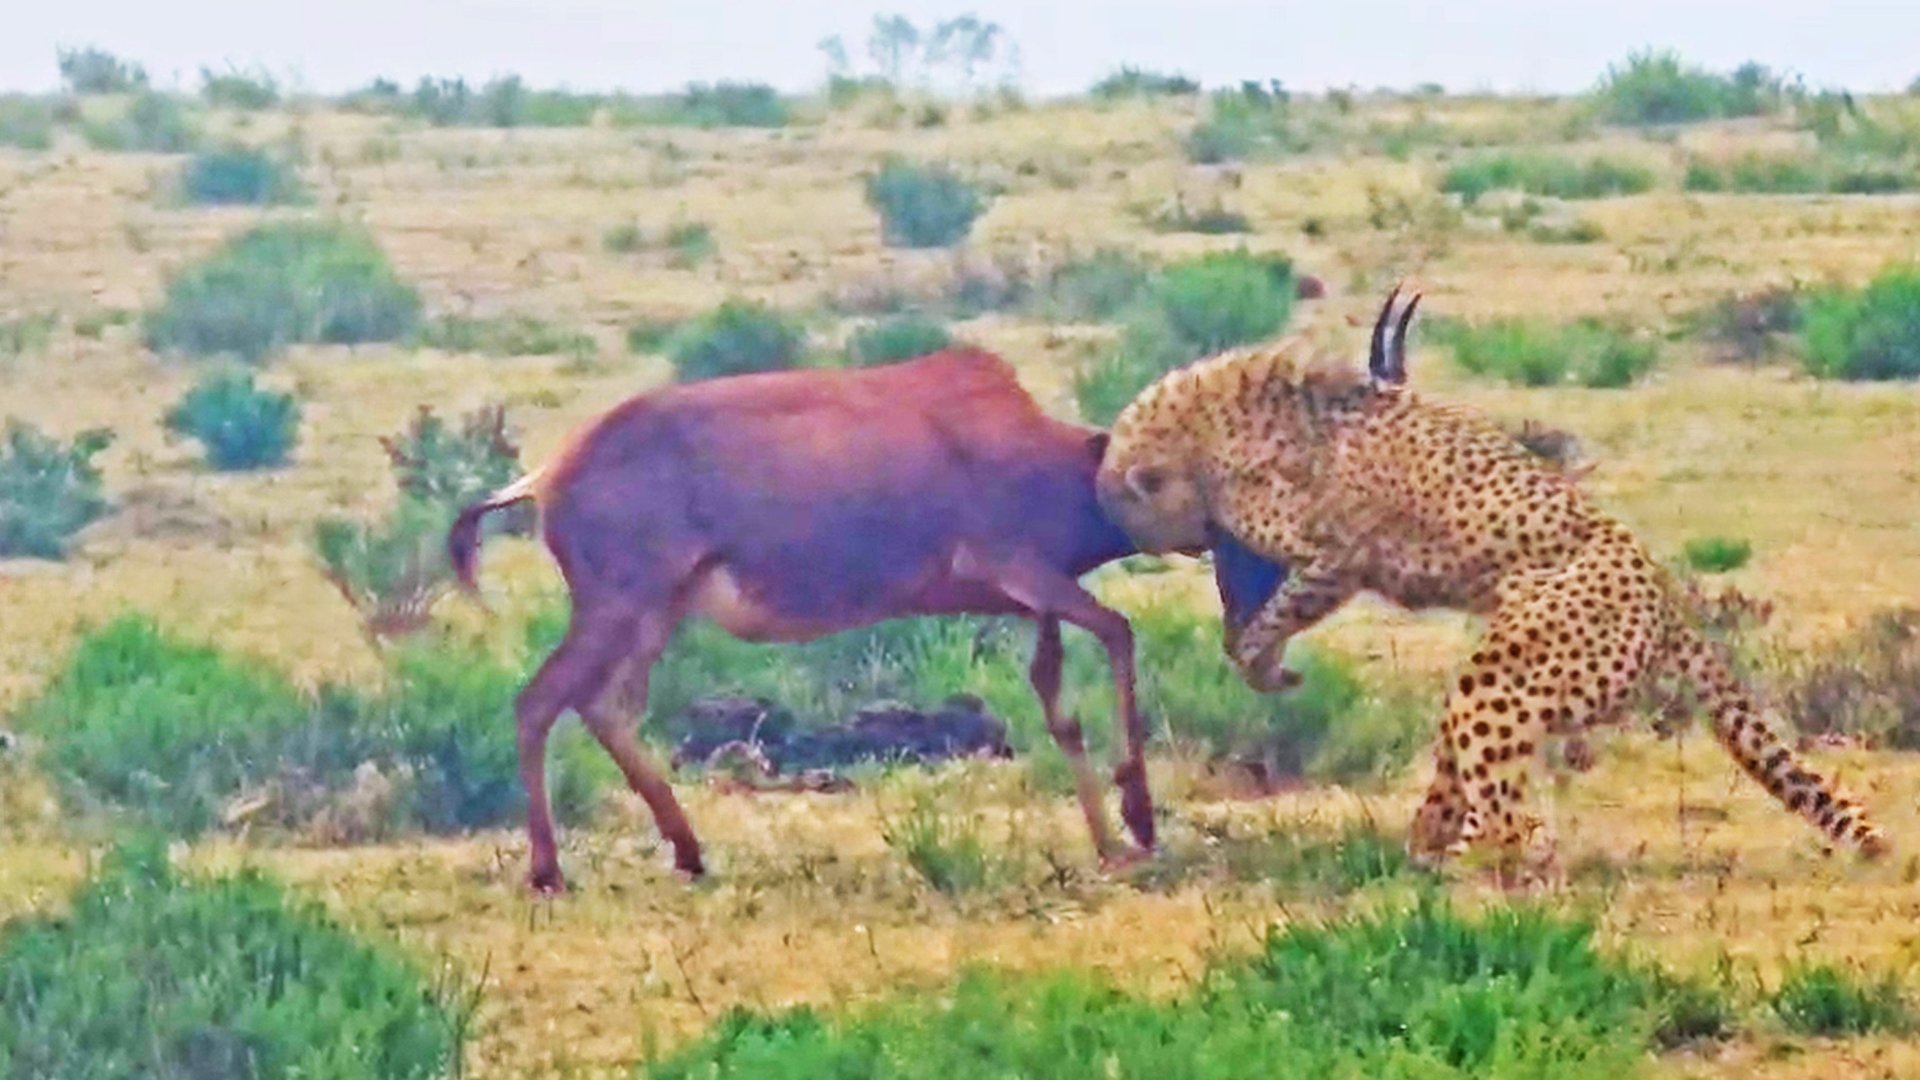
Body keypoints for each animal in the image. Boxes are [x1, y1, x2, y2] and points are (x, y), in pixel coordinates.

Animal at [1093, 288, 1888, 877]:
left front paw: (1261, 664)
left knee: (1518, 826)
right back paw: (1427, 840)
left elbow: (1273, 615)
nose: (1167, 544)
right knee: (1480, 786)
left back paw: (1453, 857)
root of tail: (1667, 597)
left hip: (1507, 673)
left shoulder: (1335, 557)